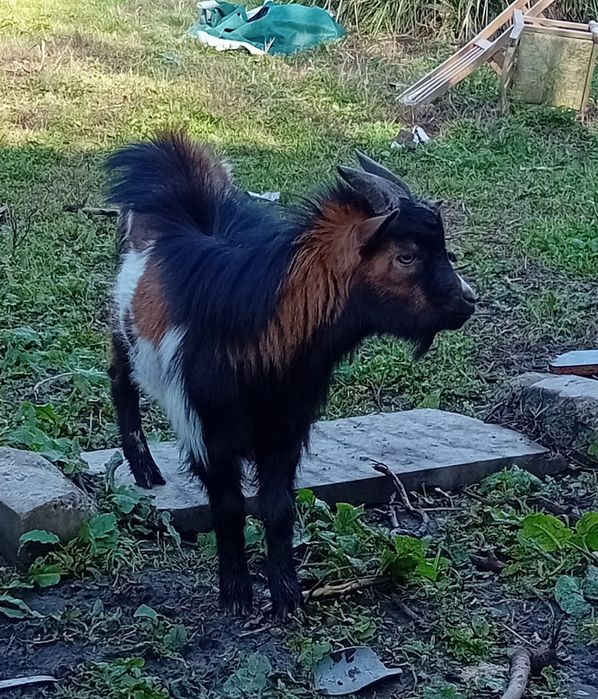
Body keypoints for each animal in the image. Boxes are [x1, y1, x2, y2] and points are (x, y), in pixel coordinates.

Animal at [106, 133, 476, 618]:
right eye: (406, 256)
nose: (468, 300)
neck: (265, 325)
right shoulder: (207, 429)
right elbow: (228, 507)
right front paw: (236, 596)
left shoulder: (286, 426)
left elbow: (277, 507)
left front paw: (287, 598)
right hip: (123, 331)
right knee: (120, 381)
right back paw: (146, 469)